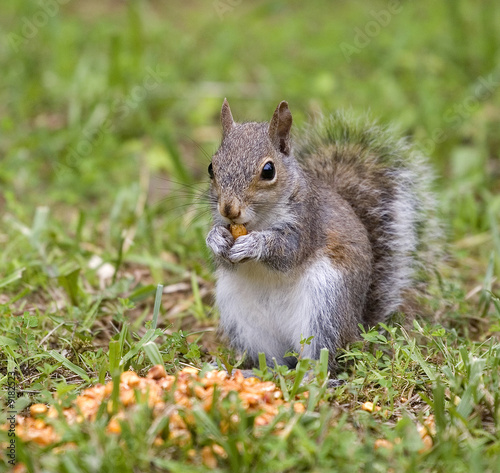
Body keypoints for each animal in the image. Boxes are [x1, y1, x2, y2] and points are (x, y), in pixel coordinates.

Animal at [205, 99, 436, 372]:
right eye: (211, 167)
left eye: (268, 170)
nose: (229, 209)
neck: (258, 221)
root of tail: (357, 328)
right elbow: (222, 258)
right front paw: (215, 238)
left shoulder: (309, 221)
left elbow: (288, 252)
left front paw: (255, 244)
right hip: (242, 318)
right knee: (273, 362)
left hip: (326, 305)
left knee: (323, 355)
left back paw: (309, 376)